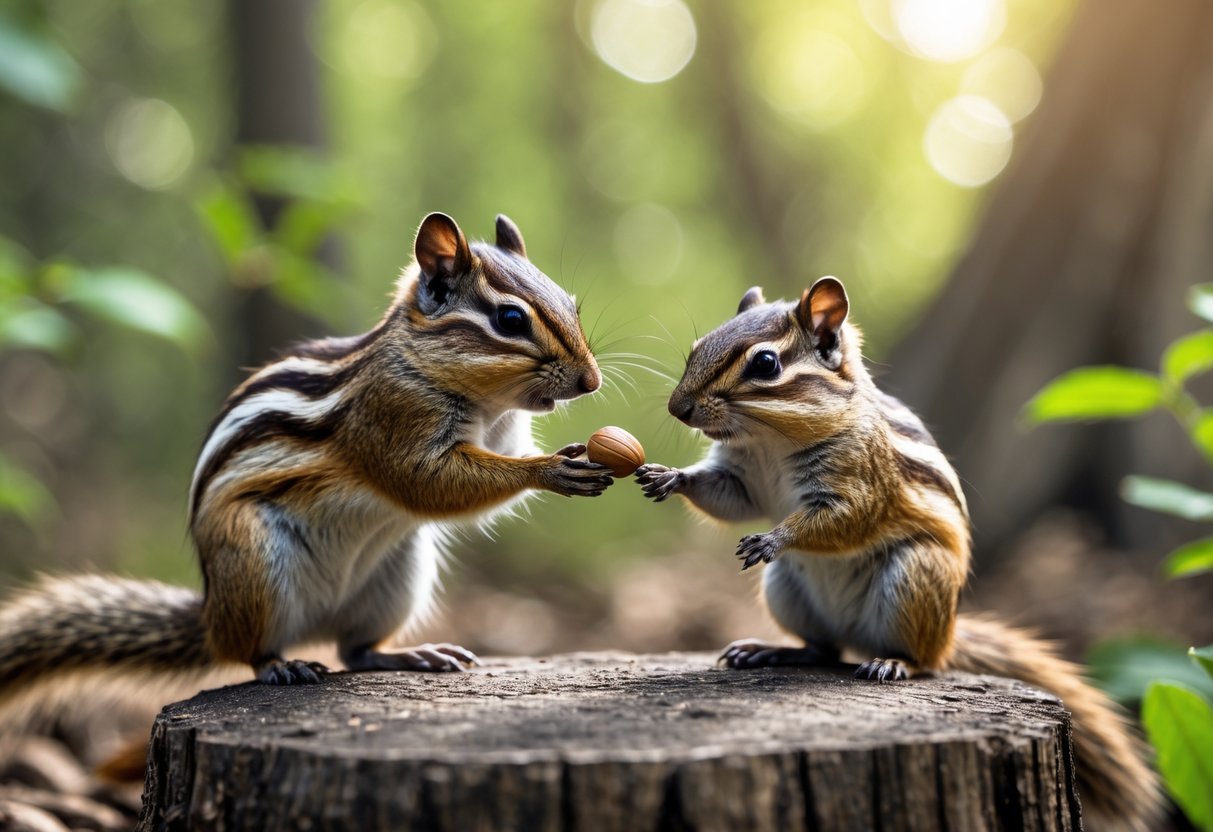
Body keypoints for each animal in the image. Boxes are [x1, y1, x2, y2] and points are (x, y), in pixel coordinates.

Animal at [0, 212, 615, 701]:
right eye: (510, 321)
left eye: (571, 304)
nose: (591, 381)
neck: (487, 406)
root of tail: (211, 615)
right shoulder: (387, 419)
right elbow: (423, 482)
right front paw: (551, 469)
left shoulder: (502, 434)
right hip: (255, 562)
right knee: (250, 651)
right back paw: (283, 666)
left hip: (398, 576)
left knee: (354, 650)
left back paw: (409, 654)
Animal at [635, 277, 1162, 831]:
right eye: (697, 347)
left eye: (765, 364)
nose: (678, 408)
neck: (770, 441)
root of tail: (946, 632)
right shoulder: (741, 477)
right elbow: (727, 497)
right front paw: (670, 477)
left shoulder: (864, 483)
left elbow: (844, 521)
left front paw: (773, 538)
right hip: (786, 590)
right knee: (824, 650)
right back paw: (773, 650)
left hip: (914, 576)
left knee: (924, 661)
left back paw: (893, 663)